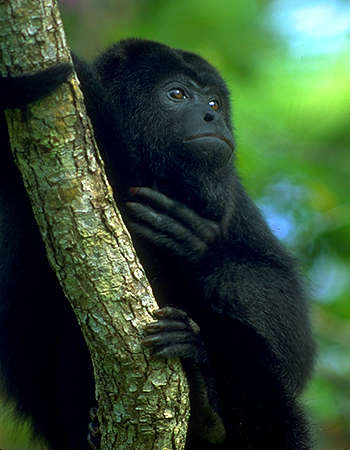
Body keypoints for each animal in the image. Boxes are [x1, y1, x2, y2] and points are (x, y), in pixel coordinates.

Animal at [0, 39, 314, 450]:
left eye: (214, 103)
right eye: (177, 94)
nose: (212, 118)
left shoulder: (235, 201)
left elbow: (289, 330)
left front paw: (193, 246)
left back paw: (204, 386)